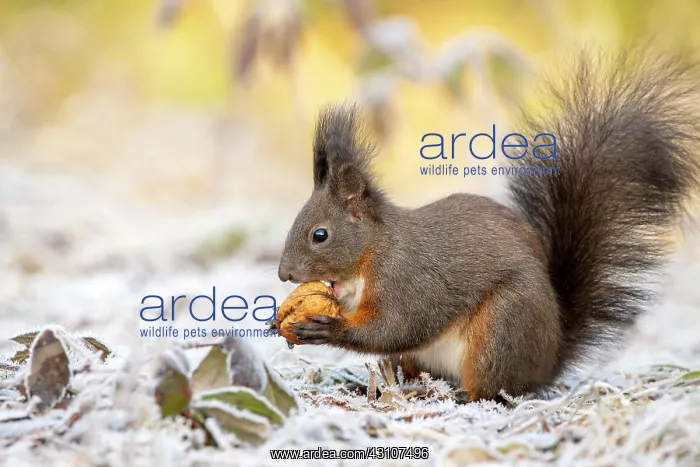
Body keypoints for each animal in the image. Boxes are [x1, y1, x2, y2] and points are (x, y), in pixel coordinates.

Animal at [276, 51, 700, 401]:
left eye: (319, 235)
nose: (284, 274)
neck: (372, 251)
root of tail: (547, 363)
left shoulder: (408, 279)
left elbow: (396, 325)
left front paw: (325, 330)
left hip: (501, 329)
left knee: (493, 387)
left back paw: (464, 397)